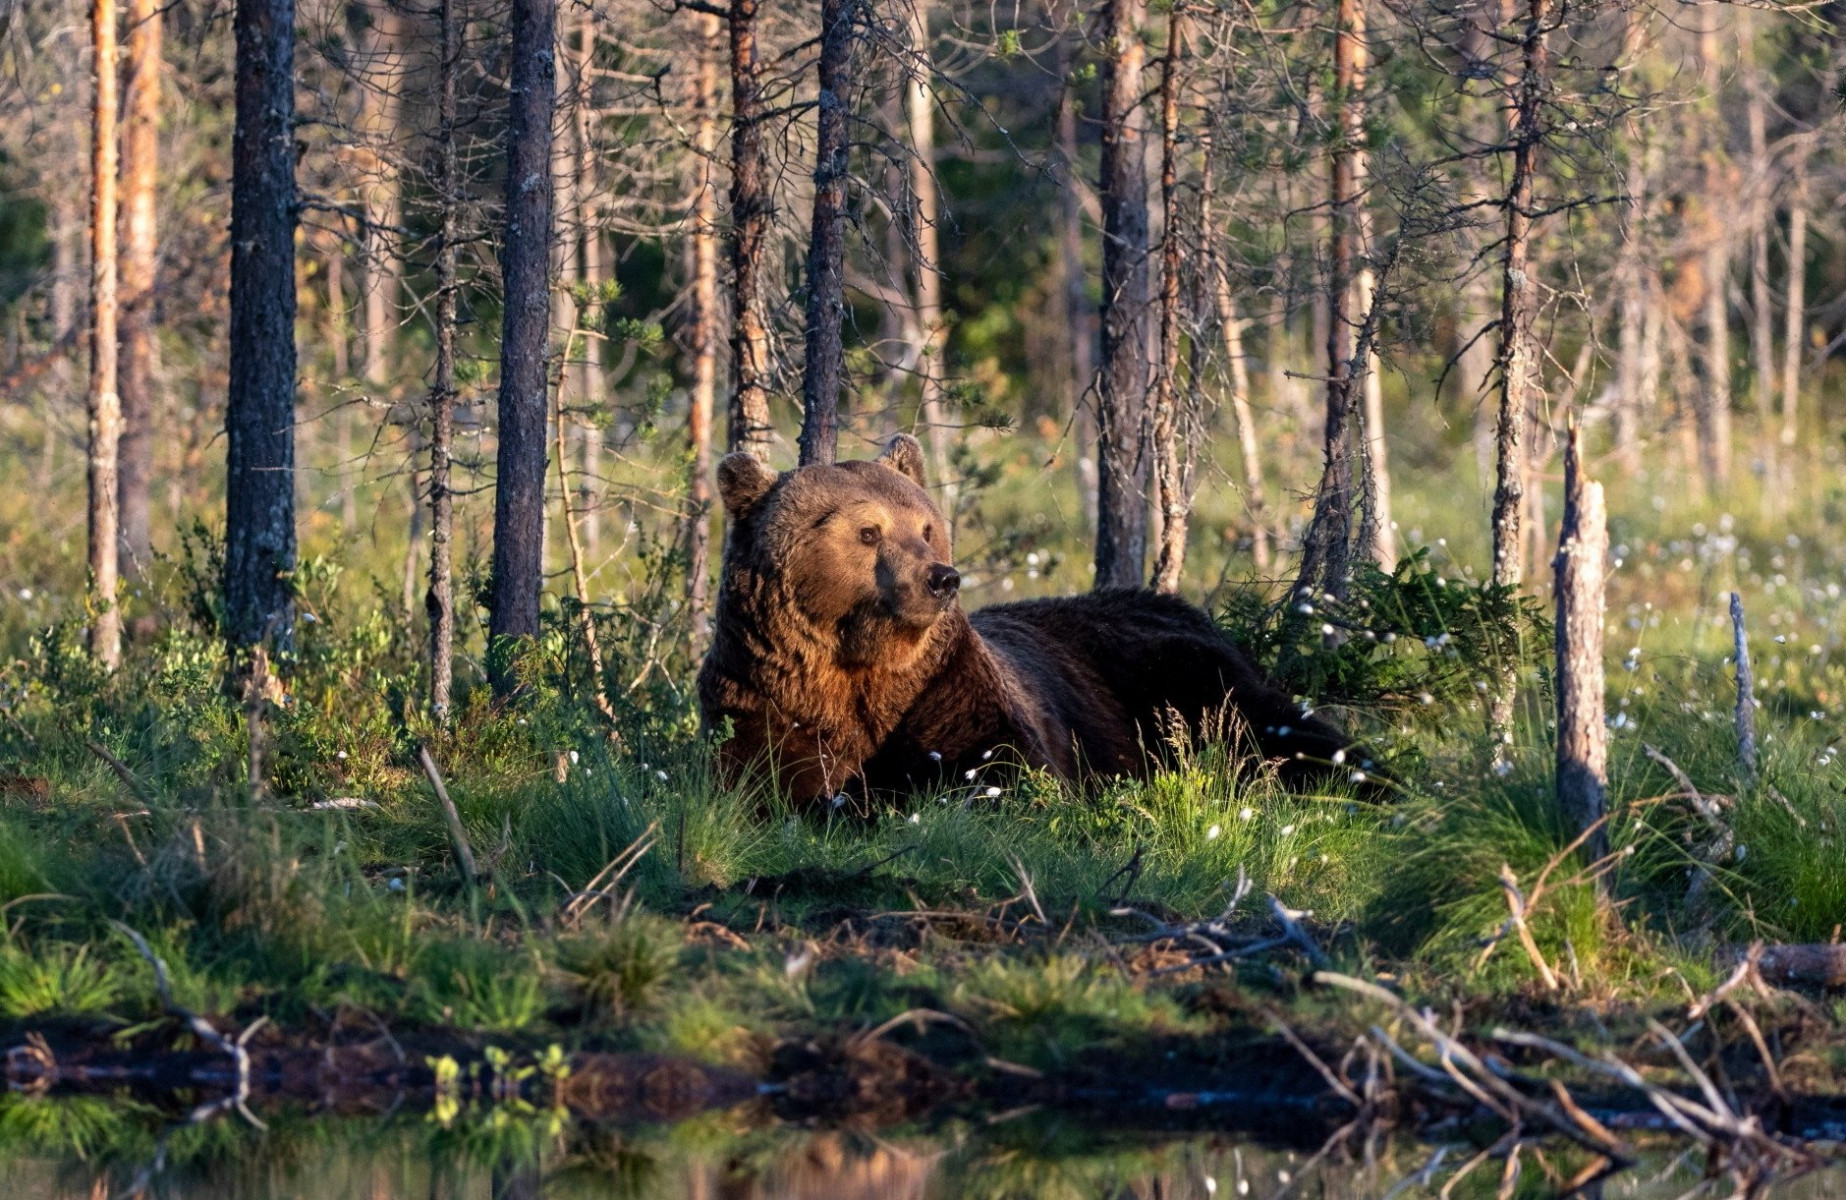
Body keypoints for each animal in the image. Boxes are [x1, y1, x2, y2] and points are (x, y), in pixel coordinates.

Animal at [694, 432, 1358, 804]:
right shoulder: (762, 695)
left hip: (1181, 676)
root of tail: (1189, 607)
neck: (858, 673)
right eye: (868, 531)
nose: (941, 578)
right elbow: (764, 775)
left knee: (1284, 732)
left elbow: (1007, 769)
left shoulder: (949, 691)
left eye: (926, 526)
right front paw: (832, 795)